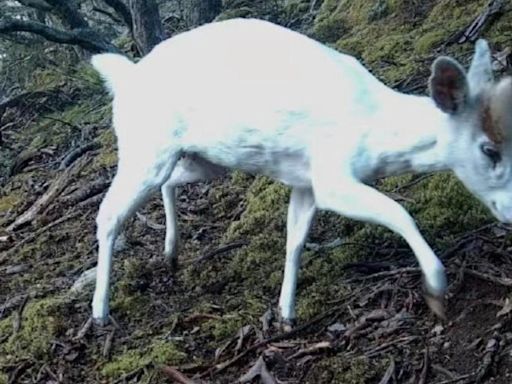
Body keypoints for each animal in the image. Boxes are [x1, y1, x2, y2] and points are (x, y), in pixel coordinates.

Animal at [90, 18, 512, 328]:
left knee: (170, 181)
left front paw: (286, 313)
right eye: (488, 149)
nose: (509, 211)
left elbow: (294, 241)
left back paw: (172, 251)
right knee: (108, 213)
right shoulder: (331, 174)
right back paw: (100, 312)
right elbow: (398, 211)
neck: (374, 131)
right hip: (145, 147)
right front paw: (436, 285)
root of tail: (125, 78)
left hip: (201, 159)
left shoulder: (305, 182)